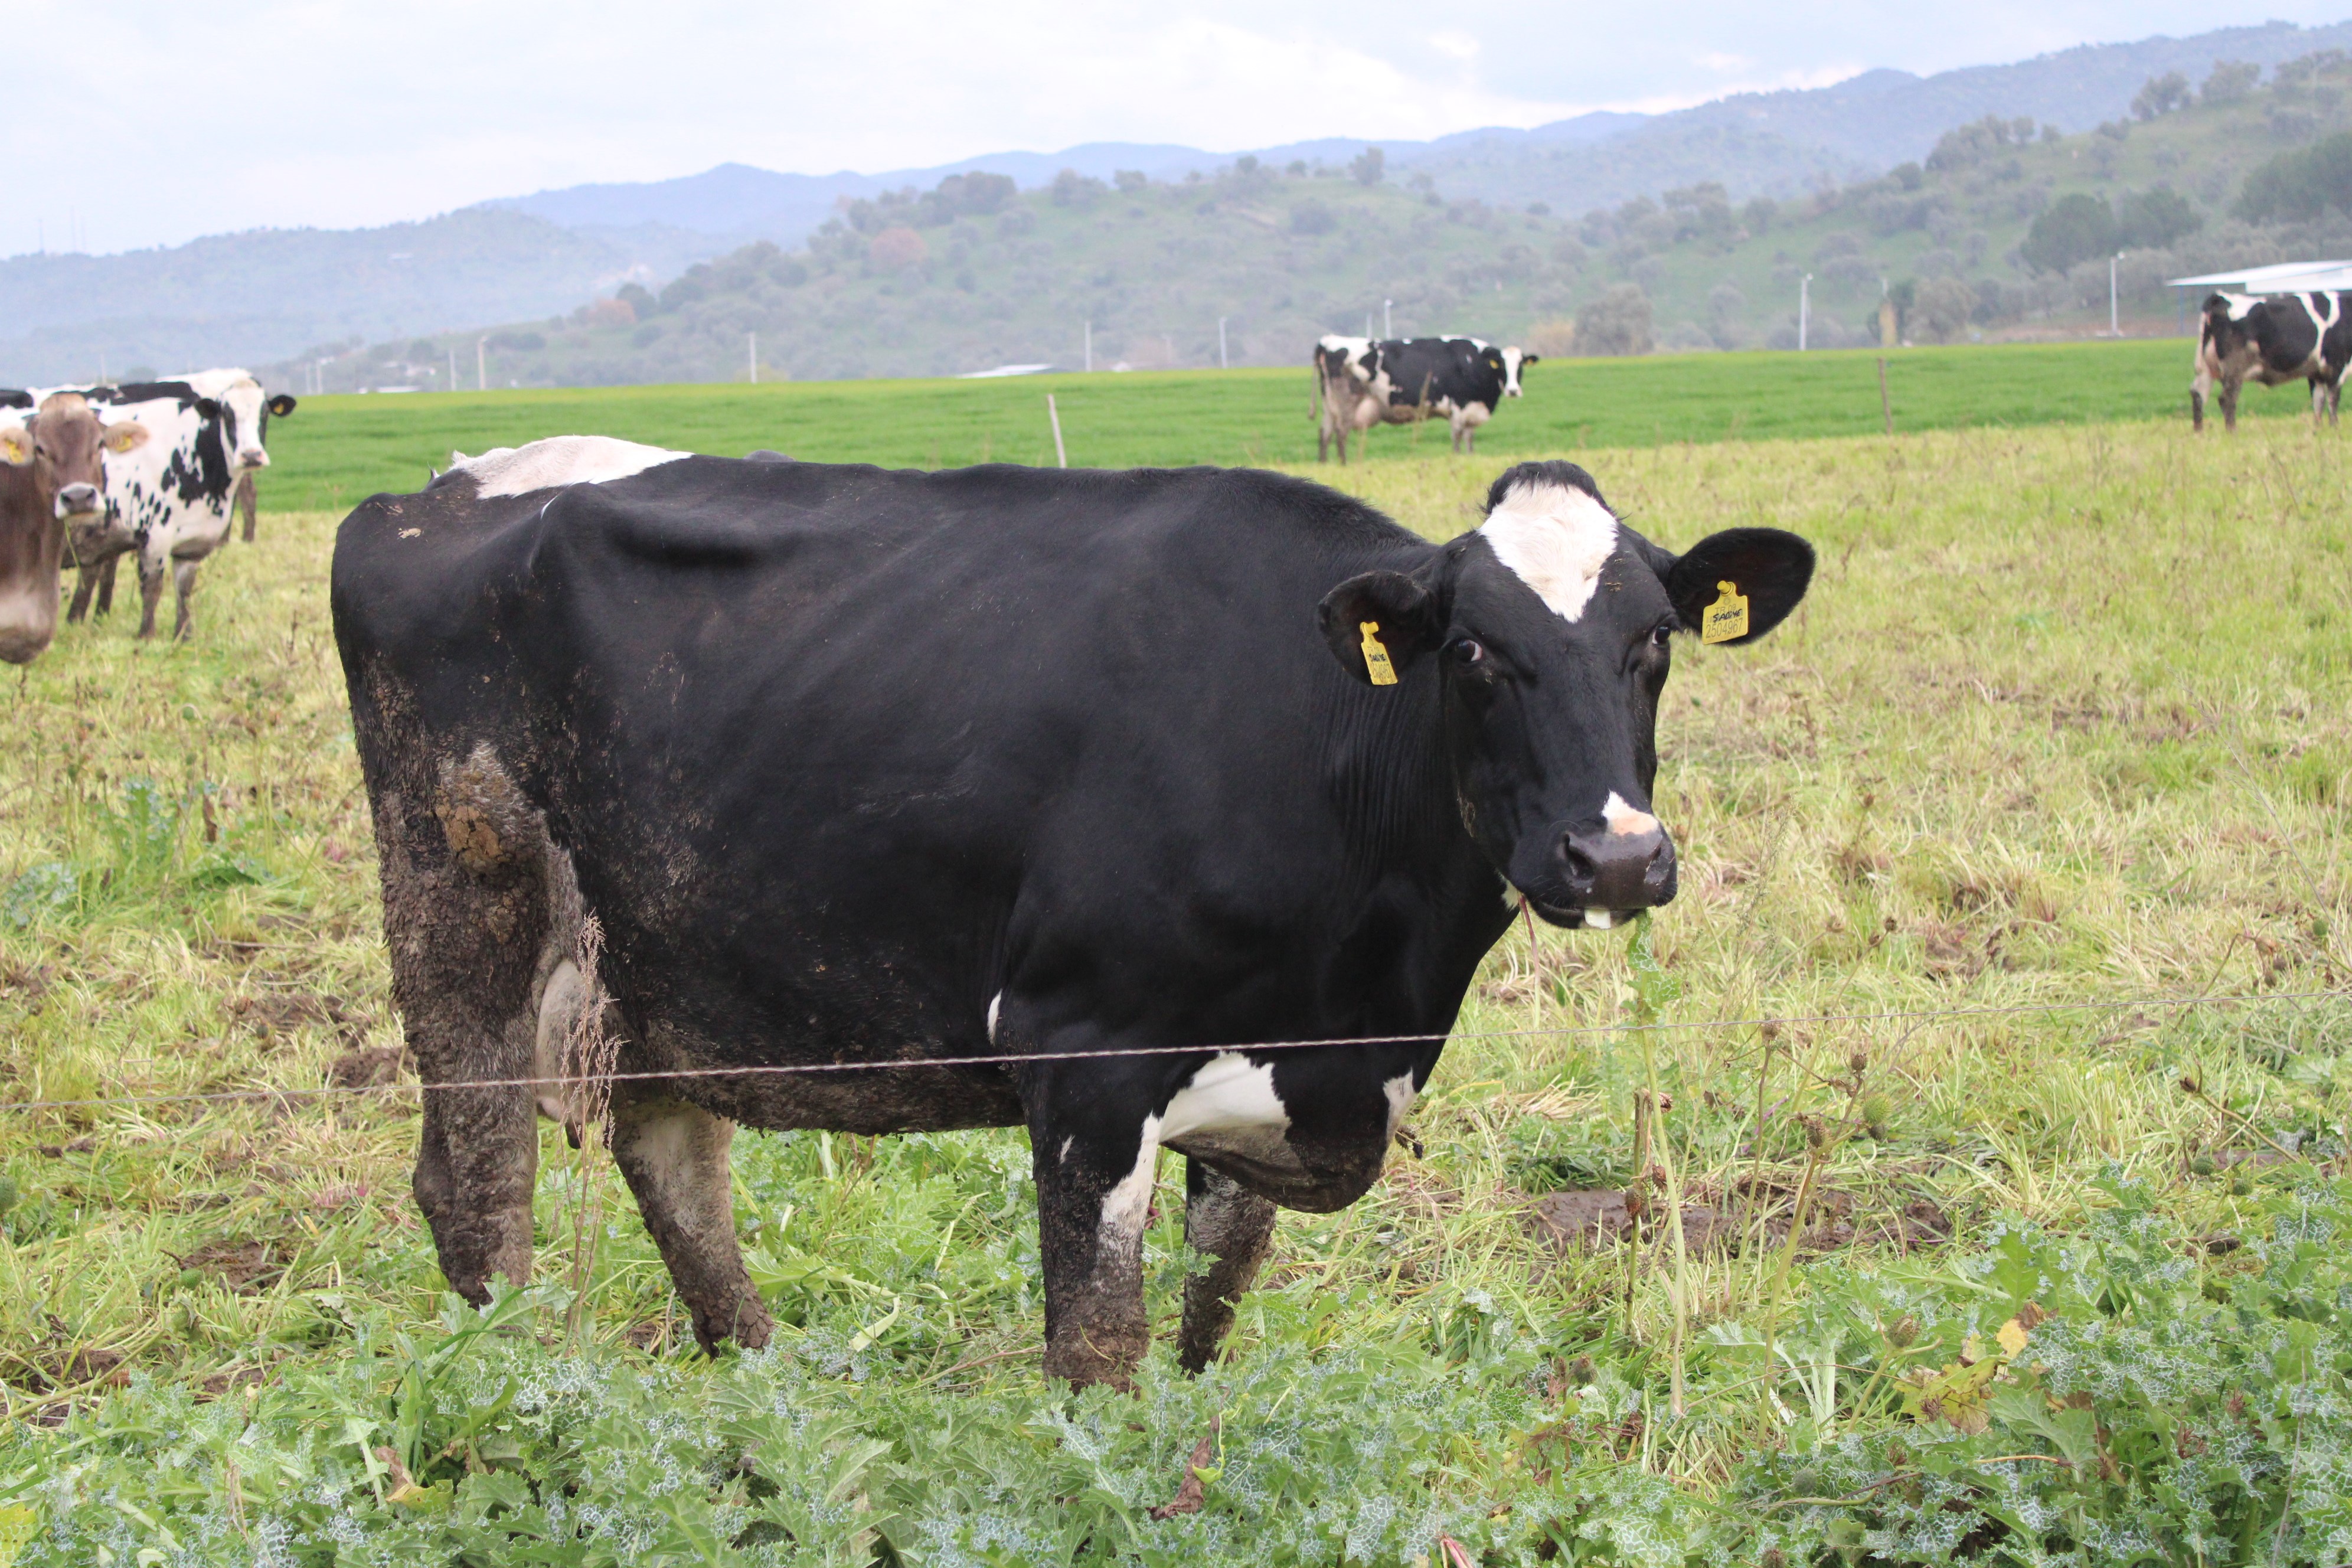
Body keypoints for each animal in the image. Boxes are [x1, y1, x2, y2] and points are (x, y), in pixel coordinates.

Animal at [331, 439, 1806, 1382]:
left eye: (1653, 642)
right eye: (1477, 651)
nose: (1615, 858)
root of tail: (430, 494)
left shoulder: (1265, 1072)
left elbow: (1211, 1314)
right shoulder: (1083, 1053)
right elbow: (1098, 1348)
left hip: (660, 962)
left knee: (673, 1156)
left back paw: (760, 1384)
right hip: (462, 923)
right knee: (478, 1187)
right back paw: (525, 1396)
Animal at [1317, 336, 1533, 463]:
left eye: (1520, 366)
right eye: (1502, 366)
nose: (1513, 390)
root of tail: (1329, 340)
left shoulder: (1471, 411)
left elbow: (1470, 439)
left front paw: (1470, 457)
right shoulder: (1458, 407)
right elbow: (1457, 438)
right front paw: (1457, 459)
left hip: (1330, 405)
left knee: (1325, 433)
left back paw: (1325, 463)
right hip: (1347, 401)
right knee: (1341, 434)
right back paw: (1344, 464)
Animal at [2183, 291, 2352, 430]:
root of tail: (2220, 298)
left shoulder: (2315, 373)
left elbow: (2318, 403)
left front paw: (2318, 431)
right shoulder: (2336, 367)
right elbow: (2333, 402)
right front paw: (2334, 429)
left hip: (2204, 367)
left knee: (2198, 395)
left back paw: (2199, 434)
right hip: (2234, 367)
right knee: (2227, 398)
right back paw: (2232, 434)